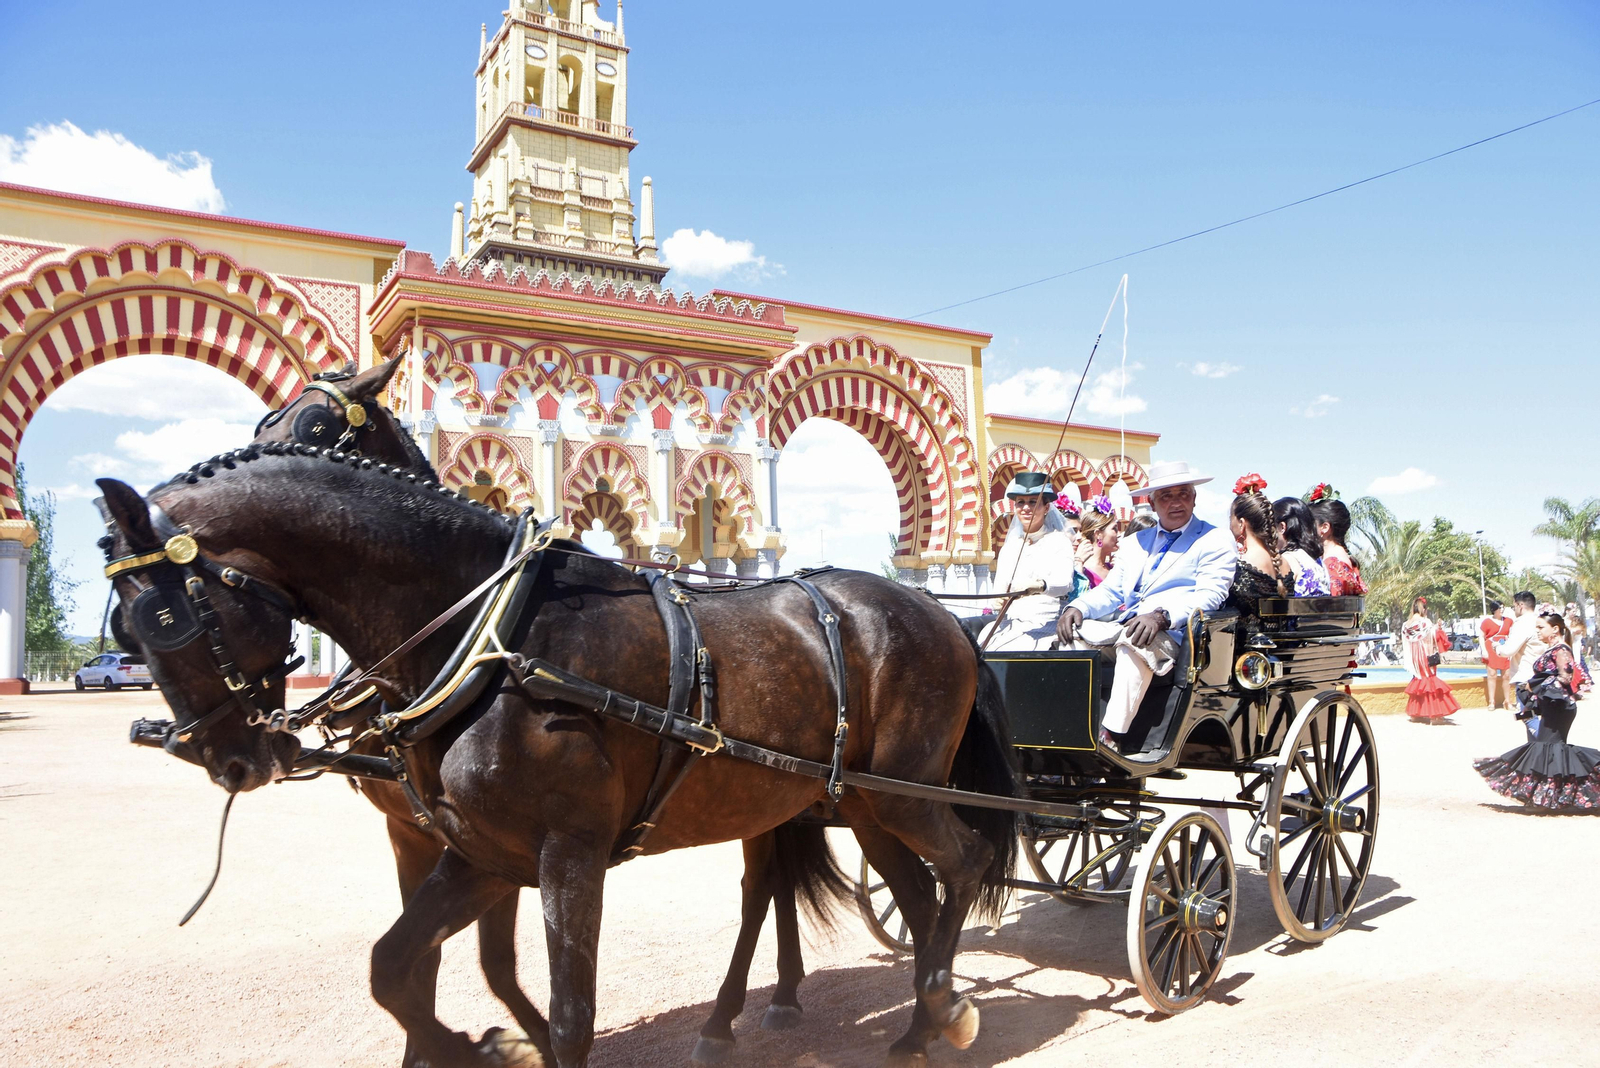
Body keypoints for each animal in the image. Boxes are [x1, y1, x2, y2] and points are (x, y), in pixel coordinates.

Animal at [96, 445, 1017, 1068]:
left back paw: (938, 1003)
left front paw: (515, 1040)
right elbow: (397, 968)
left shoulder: (567, 855)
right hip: (857, 802)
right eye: (122, 633)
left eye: (166, 620)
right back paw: (915, 1024)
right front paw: (483, 1046)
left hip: (899, 792)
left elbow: (568, 1013)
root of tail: (942, 613)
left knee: (962, 863)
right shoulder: (481, 852)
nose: (228, 759)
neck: (494, 640)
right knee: (909, 891)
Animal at [246, 356, 850, 1064]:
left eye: (315, 426)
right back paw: (779, 993)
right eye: (263, 424)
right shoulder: (418, 833)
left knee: (761, 888)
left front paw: (514, 1039)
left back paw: (733, 1016)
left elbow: (491, 961)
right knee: (776, 878)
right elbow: (434, 962)